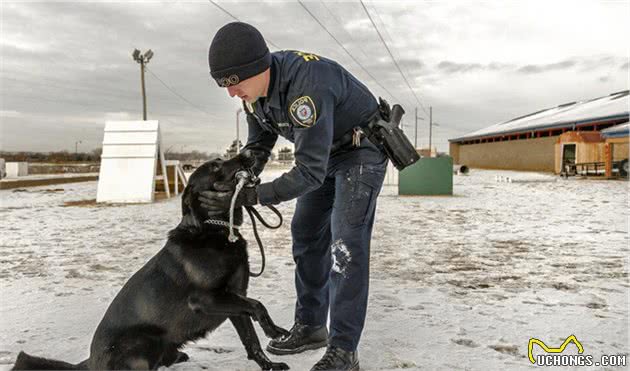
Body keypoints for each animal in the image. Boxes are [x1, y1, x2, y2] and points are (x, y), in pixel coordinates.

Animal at [13, 153, 292, 370]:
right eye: (215, 166)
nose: (250, 153)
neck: (214, 230)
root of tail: (90, 363)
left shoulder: (235, 298)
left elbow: (251, 338)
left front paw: (269, 363)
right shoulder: (206, 299)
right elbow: (257, 305)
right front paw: (273, 330)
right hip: (143, 341)